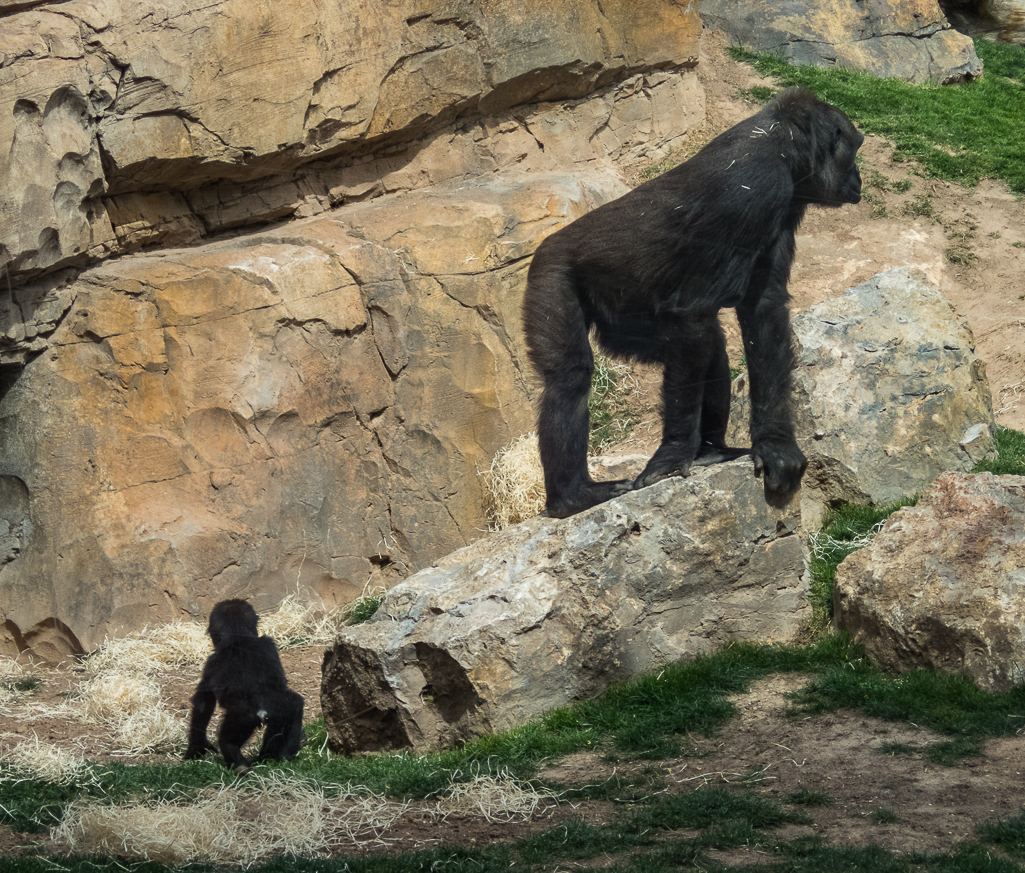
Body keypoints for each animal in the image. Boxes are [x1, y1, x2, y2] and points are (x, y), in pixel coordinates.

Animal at [184, 598, 303, 770]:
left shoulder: (211, 663)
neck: (238, 639)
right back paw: (282, 754)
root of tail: (262, 711)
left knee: (227, 740)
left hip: (242, 717)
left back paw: (240, 765)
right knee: (295, 705)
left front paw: (197, 746)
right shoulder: (268, 644)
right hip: (279, 707)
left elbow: (203, 703)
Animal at [524, 87, 861, 518]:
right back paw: (572, 496)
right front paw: (671, 456)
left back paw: (711, 450)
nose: (858, 179)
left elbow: (763, 311)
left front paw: (775, 445)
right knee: (570, 378)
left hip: (626, 323)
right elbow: (696, 311)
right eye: (854, 150)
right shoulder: (754, 187)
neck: (782, 146)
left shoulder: (788, 206)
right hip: (551, 272)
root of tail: (546, 243)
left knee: (707, 346)